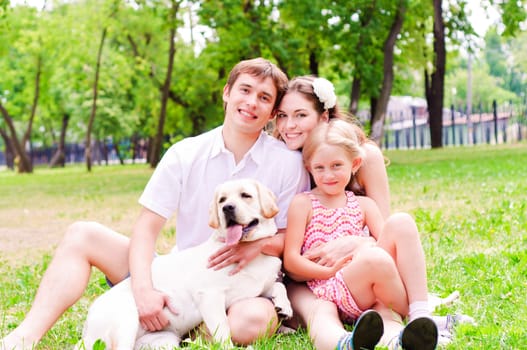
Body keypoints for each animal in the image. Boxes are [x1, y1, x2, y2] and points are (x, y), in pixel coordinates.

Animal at [77, 179, 292, 348]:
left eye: (246, 195)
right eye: (222, 200)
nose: (227, 208)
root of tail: (86, 329)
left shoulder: (260, 286)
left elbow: (279, 286)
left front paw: (285, 307)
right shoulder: (209, 296)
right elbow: (223, 329)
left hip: (165, 341)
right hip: (126, 320)